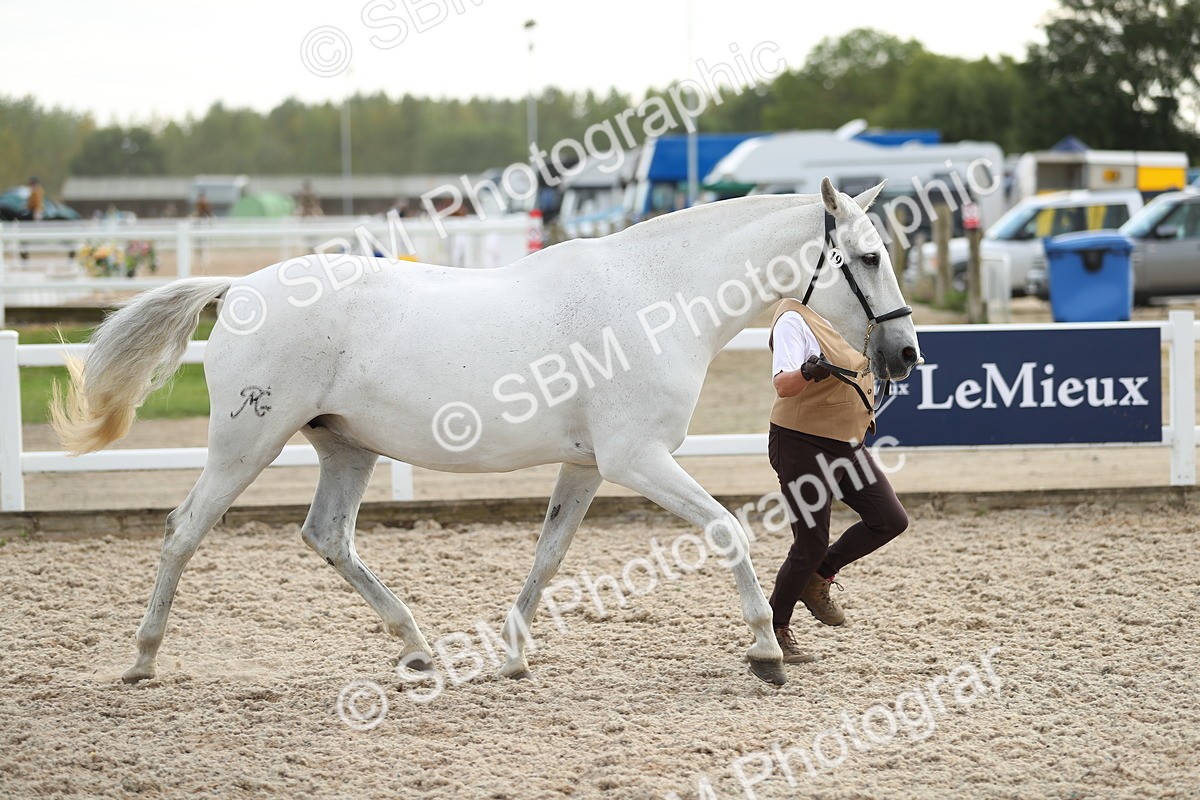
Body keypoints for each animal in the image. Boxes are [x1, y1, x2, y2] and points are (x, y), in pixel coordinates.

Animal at [51, 177, 920, 687]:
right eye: (870, 256)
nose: (907, 354)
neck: (657, 297)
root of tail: (238, 288)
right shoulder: (639, 459)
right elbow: (727, 532)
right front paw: (766, 653)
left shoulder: (589, 467)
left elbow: (548, 556)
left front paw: (513, 655)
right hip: (246, 444)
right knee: (184, 531)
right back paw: (142, 661)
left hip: (345, 446)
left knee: (327, 536)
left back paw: (416, 648)